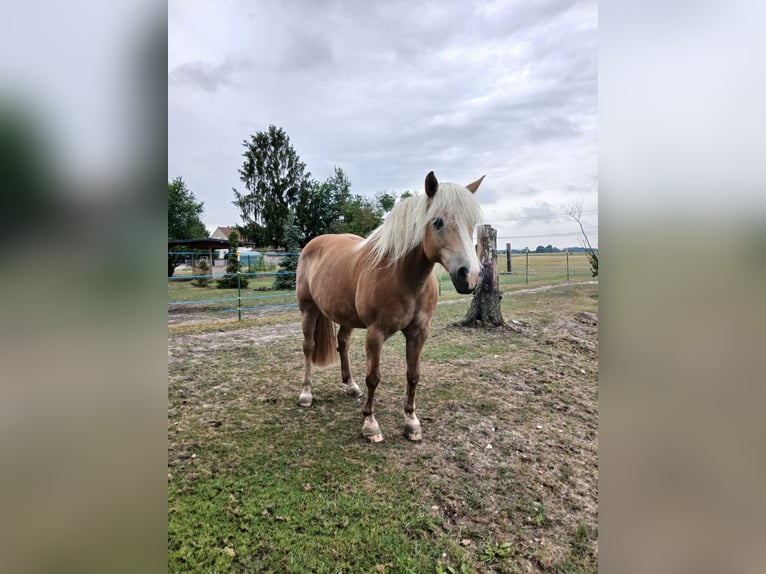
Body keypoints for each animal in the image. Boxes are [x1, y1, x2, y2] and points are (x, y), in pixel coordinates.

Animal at [295, 171, 484, 442]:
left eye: (471, 223)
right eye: (438, 222)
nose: (470, 276)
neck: (402, 276)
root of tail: (314, 244)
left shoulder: (419, 332)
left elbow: (413, 375)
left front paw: (411, 423)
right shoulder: (376, 333)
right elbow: (374, 378)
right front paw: (370, 425)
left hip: (344, 315)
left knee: (342, 343)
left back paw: (350, 386)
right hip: (308, 310)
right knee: (309, 348)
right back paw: (306, 394)